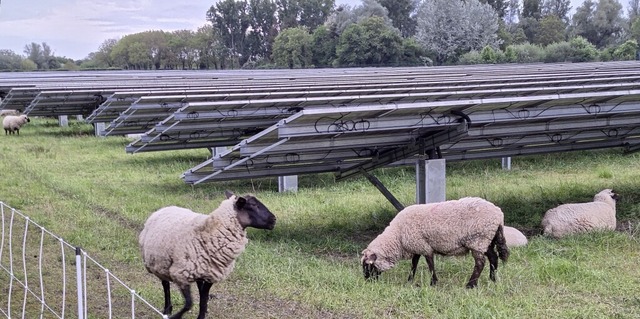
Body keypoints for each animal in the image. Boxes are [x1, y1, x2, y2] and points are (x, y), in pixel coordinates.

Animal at [139, 191, 276, 318]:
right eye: (253, 205)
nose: (274, 219)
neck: (211, 231)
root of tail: (165, 208)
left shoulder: (211, 274)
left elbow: (203, 299)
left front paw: (202, 315)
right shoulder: (180, 273)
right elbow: (189, 304)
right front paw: (176, 316)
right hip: (159, 263)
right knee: (166, 285)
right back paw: (167, 309)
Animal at [362, 198, 508, 290]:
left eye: (367, 265)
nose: (367, 281)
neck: (398, 237)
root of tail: (499, 215)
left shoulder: (424, 246)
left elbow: (430, 264)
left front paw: (433, 282)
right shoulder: (417, 245)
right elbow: (414, 264)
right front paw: (410, 280)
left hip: (478, 239)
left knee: (480, 263)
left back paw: (471, 285)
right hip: (486, 240)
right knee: (493, 257)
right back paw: (492, 279)